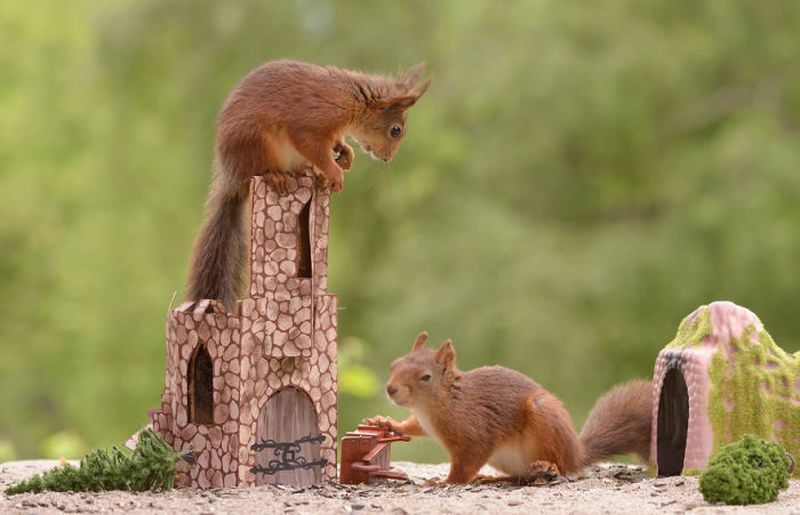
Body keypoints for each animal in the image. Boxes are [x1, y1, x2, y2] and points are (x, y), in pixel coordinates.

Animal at [186, 60, 432, 310]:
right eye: (395, 130)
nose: (387, 158)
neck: (351, 98)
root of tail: (231, 175)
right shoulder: (314, 120)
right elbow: (310, 143)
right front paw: (335, 173)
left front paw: (345, 152)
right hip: (255, 143)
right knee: (256, 170)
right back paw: (275, 175)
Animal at [362, 332, 648, 486]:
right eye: (394, 364)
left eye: (425, 377)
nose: (391, 389)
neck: (441, 404)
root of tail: (577, 453)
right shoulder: (423, 422)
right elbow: (411, 426)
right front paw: (385, 422)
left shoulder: (474, 433)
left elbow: (465, 464)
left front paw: (444, 482)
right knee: (520, 477)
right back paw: (492, 479)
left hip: (544, 416)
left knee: (563, 466)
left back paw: (549, 466)